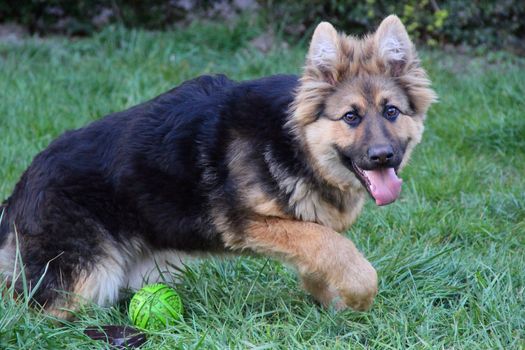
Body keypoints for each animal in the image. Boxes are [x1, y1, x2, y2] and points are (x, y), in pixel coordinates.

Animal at [0, 15, 434, 318]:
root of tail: (21, 188)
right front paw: (358, 296)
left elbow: (326, 252)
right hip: (88, 276)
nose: (383, 157)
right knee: (32, 310)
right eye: (350, 117)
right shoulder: (251, 223)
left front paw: (331, 301)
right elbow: (336, 249)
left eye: (391, 112)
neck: (291, 142)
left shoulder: (306, 226)